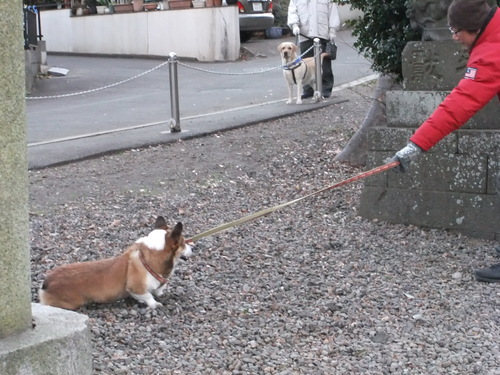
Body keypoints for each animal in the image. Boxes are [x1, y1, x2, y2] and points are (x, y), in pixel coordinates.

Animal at [38, 217, 191, 312]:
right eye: (183, 243)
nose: (192, 248)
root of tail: (46, 282)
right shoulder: (136, 288)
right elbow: (148, 296)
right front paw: (154, 304)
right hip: (72, 303)